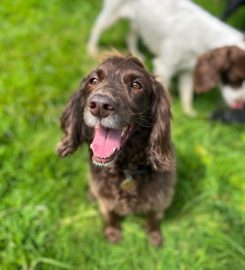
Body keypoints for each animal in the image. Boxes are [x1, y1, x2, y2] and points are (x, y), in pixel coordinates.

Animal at [57, 56, 176, 247]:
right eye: (93, 80)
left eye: (136, 85)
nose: (99, 105)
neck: (126, 167)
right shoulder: (105, 195)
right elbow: (109, 213)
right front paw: (113, 232)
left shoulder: (160, 193)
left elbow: (153, 216)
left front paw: (154, 235)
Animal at [88, 0, 245, 115]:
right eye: (234, 79)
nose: (240, 104)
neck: (200, 37)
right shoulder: (165, 66)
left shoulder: (187, 71)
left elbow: (186, 92)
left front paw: (188, 113)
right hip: (112, 12)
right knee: (97, 28)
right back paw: (92, 50)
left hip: (140, 21)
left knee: (131, 34)